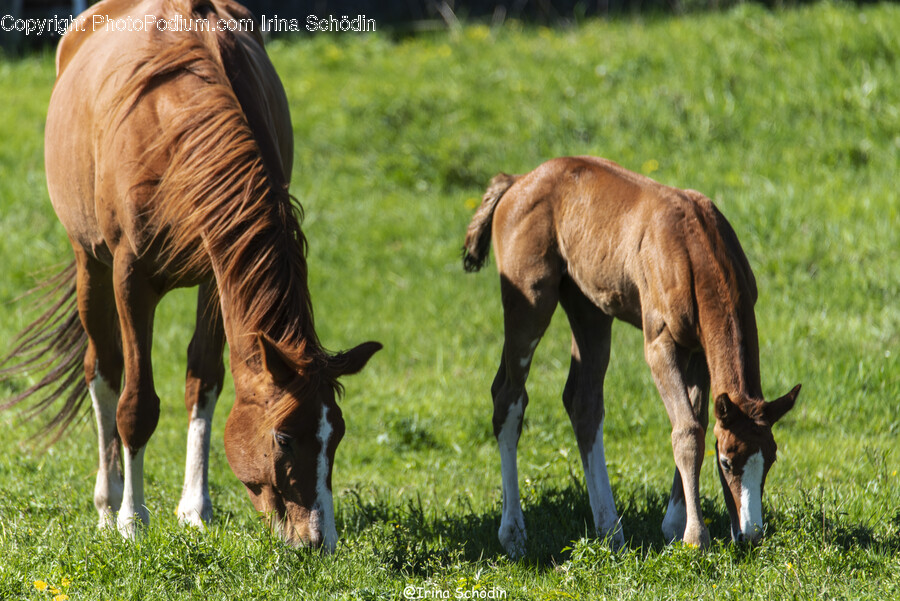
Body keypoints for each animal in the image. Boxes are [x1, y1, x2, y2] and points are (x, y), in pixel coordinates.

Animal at [0, 0, 380, 552]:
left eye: (338, 435)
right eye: (284, 437)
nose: (318, 541)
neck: (176, 131)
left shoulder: (217, 275)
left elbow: (203, 381)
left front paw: (195, 510)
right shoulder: (130, 278)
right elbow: (136, 405)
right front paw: (132, 520)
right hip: (88, 261)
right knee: (103, 370)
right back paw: (108, 504)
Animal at [463, 156, 799, 555]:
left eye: (770, 458)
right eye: (727, 461)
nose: (750, 535)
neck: (697, 249)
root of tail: (516, 181)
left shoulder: (699, 349)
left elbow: (698, 421)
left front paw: (674, 525)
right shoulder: (660, 344)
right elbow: (687, 431)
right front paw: (694, 537)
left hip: (590, 309)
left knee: (584, 403)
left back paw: (610, 531)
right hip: (529, 301)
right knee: (508, 397)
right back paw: (513, 533)